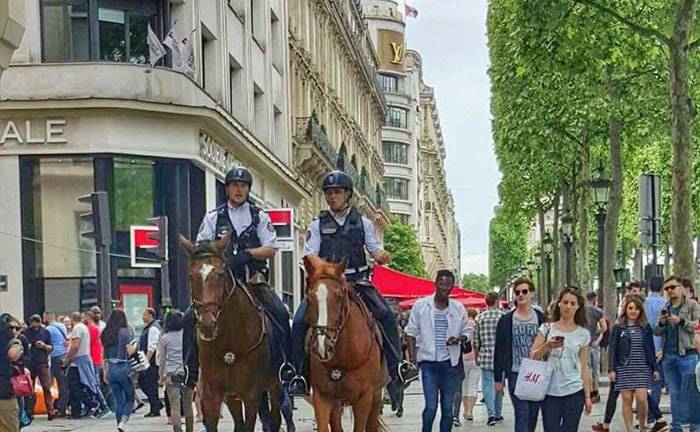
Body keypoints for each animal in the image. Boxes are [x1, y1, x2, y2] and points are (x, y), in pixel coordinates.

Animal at [179, 236, 284, 432]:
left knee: (275, 417)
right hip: (231, 395)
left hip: (275, 384)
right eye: (190, 276)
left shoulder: (251, 395)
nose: (207, 324)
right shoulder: (212, 393)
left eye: (221, 274)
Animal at [302, 256, 388, 432]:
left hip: (376, 396)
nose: (323, 347)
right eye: (309, 298)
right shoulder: (323, 396)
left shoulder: (364, 398)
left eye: (339, 296)